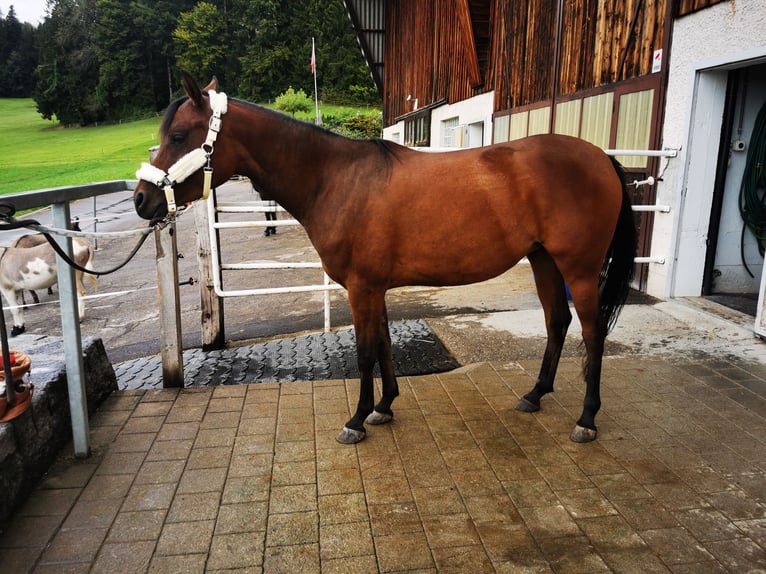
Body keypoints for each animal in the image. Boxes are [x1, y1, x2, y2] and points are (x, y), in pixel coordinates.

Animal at [135, 75, 640, 446]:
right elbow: (383, 345)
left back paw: (587, 418)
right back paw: (535, 394)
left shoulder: (361, 286)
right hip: (543, 261)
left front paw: (357, 419)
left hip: (578, 268)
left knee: (593, 332)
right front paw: (383, 407)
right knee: (557, 322)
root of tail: (601, 158)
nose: (141, 200)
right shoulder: (373, 286)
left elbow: (364, 353)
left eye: (178, 135)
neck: (335, 179)